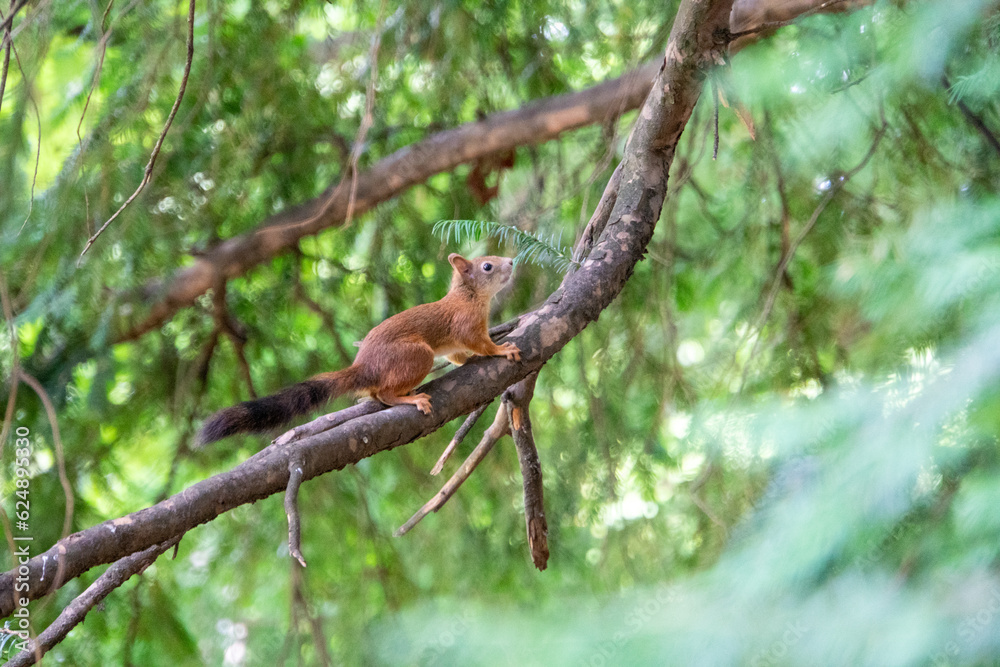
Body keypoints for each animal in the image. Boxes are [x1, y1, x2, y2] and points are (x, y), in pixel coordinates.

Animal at [198, 254, 520, 444]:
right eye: (487, 266)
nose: (512, 261)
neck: (469, 296)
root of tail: (364, 367)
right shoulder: (466, 324)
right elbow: (481, 344)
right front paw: (501, 349)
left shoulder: (455, 344)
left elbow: (458, 355)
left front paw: (470, 359)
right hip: (417, 355)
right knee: (384, 394)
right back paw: (410, 398)